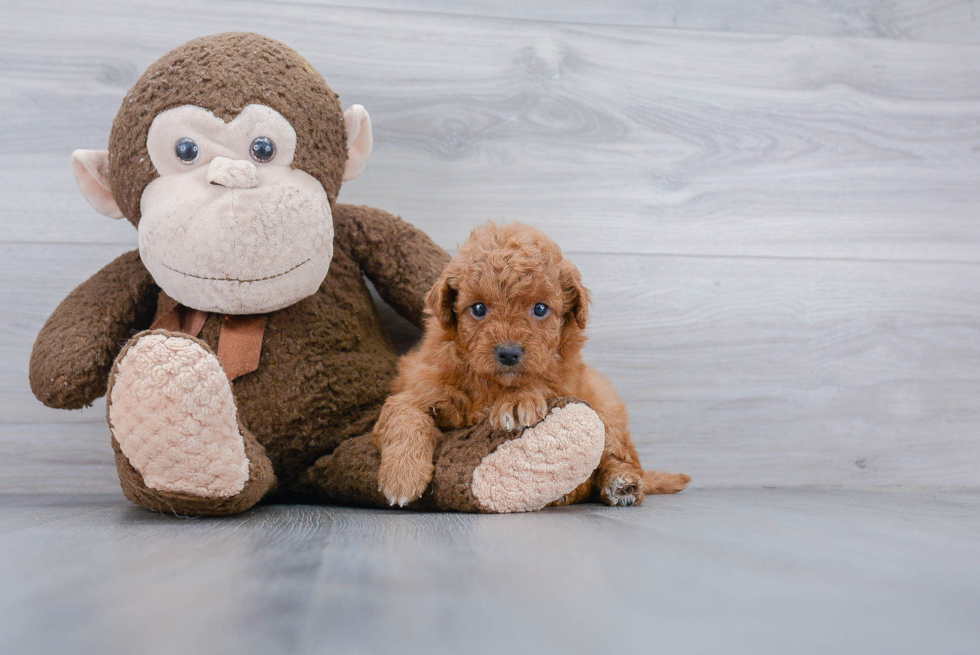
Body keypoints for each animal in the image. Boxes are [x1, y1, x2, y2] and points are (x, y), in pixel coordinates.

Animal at [376, 224, 688, 508]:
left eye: (540, 309)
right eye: (478, 308)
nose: (509, 353)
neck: (491, 385)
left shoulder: (562, 379)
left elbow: (539, 381)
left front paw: (517, 400)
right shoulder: (417, 387)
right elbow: (405, 414)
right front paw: (402, 476)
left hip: (605, 406)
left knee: (620, 456)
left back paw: (621, 484)